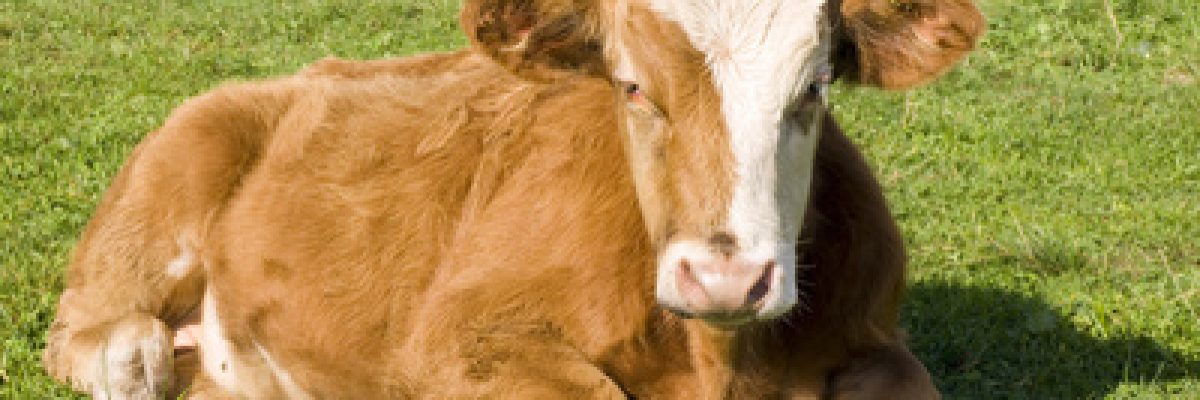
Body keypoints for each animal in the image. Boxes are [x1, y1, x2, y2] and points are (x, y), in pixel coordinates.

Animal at [43, 0, 984, 398]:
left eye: (813, 88)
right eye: (631, 85)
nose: (726, 280)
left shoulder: (877, 335)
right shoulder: (455, 337)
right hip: (178, 163)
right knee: (82, 327)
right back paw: (132, 361)